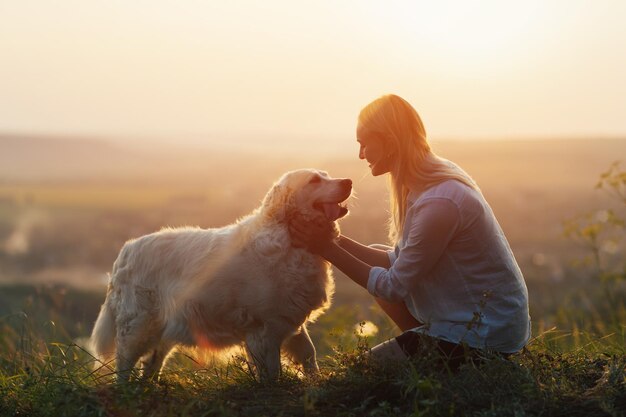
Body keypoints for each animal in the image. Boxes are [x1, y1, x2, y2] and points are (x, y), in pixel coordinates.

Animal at [88, 168, 352, 380]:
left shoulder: (288, 318)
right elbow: (272, 372)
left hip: (163, 331)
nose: (348, 181)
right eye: (314, 180)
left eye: (327, 175)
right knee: (124, 364)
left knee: (150, 367)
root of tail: (126, 250)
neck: (289, 238)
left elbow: (309, 354)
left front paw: (315, 381)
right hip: (138, 326)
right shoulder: (262, 330)